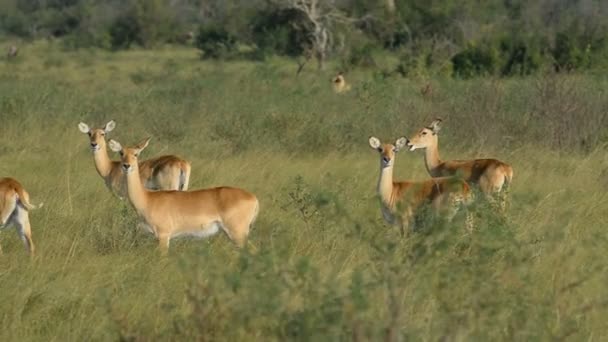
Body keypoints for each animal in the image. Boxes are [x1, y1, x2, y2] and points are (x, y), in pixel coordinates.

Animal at [108, 137, 258, 254]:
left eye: (136, 154)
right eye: (121, 153)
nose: (126, 165)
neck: (147, 199)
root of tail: (253, 198)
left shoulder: (164, 236)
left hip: (238, 233)